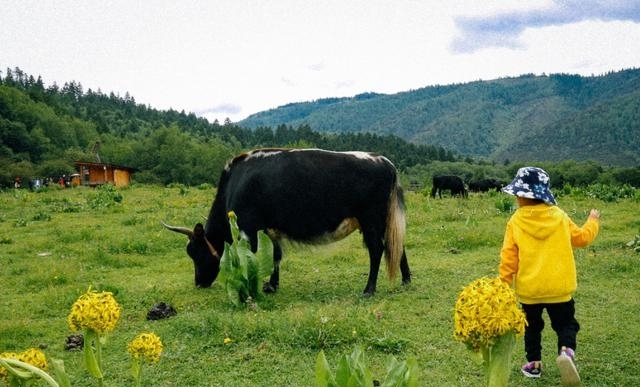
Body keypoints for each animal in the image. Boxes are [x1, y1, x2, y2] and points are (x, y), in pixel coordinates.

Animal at [162, 149, 412, 298]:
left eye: (196, 252)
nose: (199, 283)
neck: (235, 182)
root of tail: (385, 162)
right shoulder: (270, 229)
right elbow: (276, 256)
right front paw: (272, 285)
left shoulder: (248, 228)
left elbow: (251, 257)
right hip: (384, 222)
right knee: (398, 246)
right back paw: (406, 280)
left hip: (371, 220)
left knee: (377, 250)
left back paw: (369, 289)